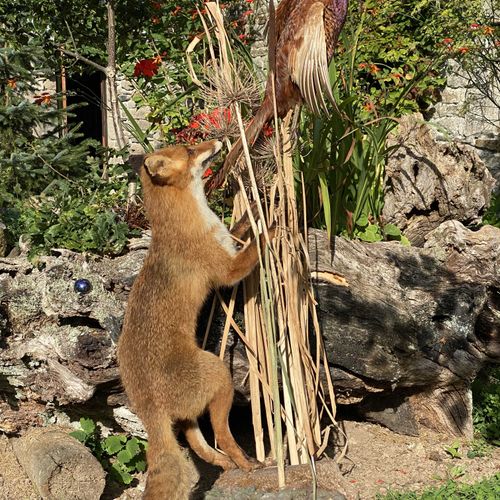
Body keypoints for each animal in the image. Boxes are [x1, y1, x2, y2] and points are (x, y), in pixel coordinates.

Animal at [117, 139, 274, 498]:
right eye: (189, 151)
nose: (219, 141)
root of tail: (148, 404)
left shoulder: (227, 242)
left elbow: (239, 228)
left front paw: (254, 208)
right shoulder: (227, 271)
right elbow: (254, 245)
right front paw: (271, 224)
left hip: (192, 408)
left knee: (195, 440)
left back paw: (222, 462)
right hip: (219, 374)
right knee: (223, 434)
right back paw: (246, 463)